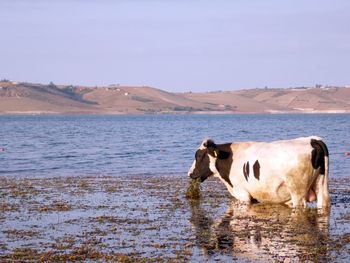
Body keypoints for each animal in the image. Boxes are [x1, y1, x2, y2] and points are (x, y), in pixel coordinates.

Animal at [187, 137, 330, 209]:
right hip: (320, 185)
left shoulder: (243, 194)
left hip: (297, 191)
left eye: (199, 156)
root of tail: (313, 140)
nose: (190, 173)